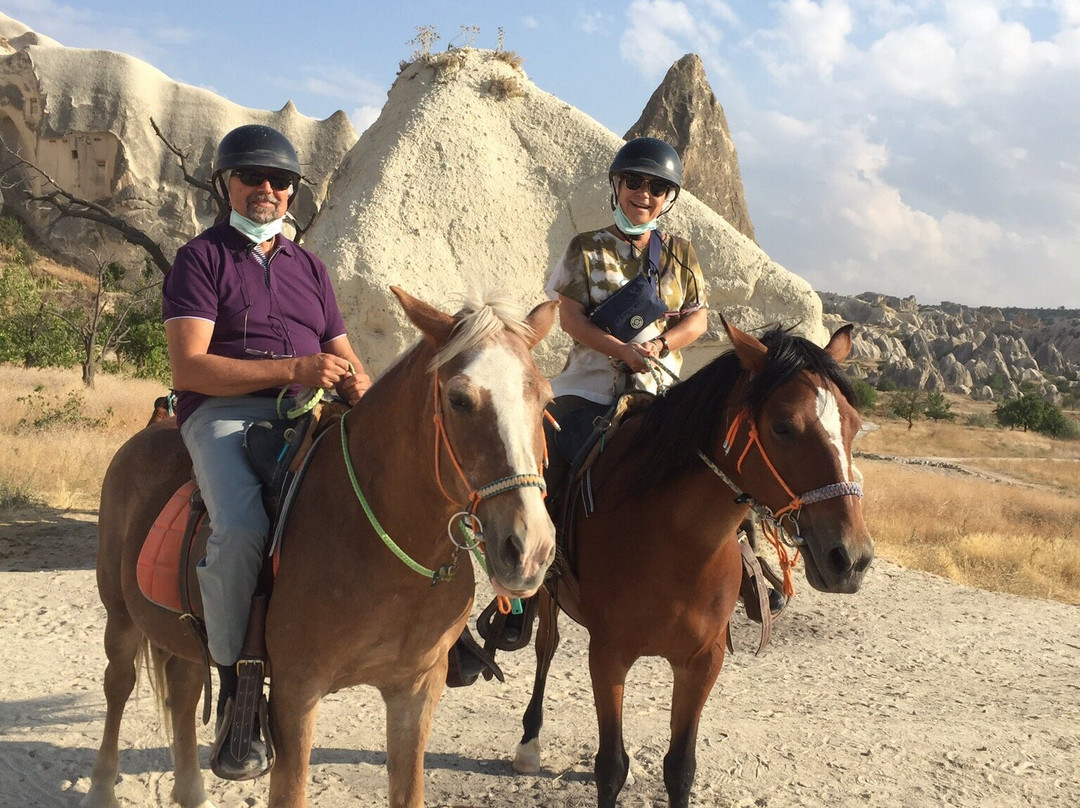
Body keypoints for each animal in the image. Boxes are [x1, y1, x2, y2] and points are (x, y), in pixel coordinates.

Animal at [78, 289, 557, 808]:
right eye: (460, 399)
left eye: (545, 399)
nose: (529, 548)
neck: (378, 541)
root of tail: (153, 427)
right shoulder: (296, 694)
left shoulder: (416, 689)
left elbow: (407, 789)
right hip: (120, 616)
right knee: (118, 685)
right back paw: (101, 787)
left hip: (183, 634)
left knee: (183, 692)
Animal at [509, 317, 872, 808]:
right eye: (782, 426)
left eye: (854, 426)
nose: (850, 558)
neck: (676, 545)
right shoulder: (607, 656)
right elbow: (610, 767)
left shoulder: (703, 661)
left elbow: (680, 768)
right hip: (547, 591)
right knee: (545, 645)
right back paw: (529, 743)